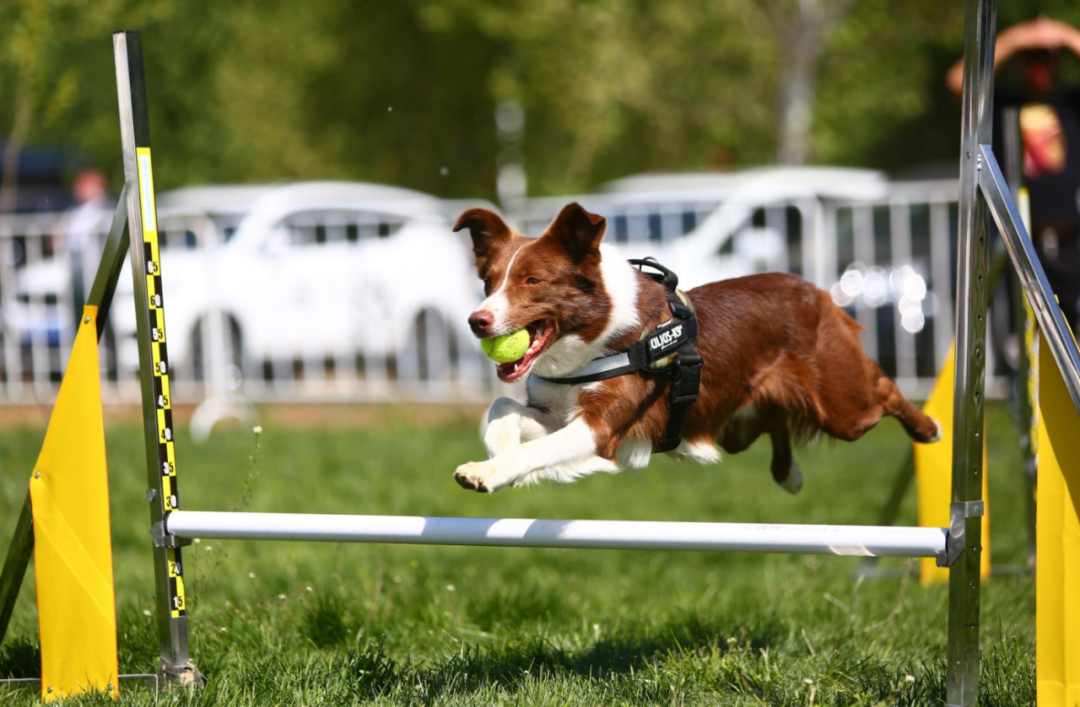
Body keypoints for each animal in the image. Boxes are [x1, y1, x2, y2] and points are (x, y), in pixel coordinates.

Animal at [451, 201, 941, 494]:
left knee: (882, 389)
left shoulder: (600, 428)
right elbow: (501, 407)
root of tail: (814, 289)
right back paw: (789, 474)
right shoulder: (560, 413)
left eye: (533, 281)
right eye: (489, 282)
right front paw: (499, 450)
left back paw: (928, 427)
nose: (478, 321)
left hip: (843, 404)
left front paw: (485, 471)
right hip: (739, 423)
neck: (592, 340)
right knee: (776, 419)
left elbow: (534, 449)